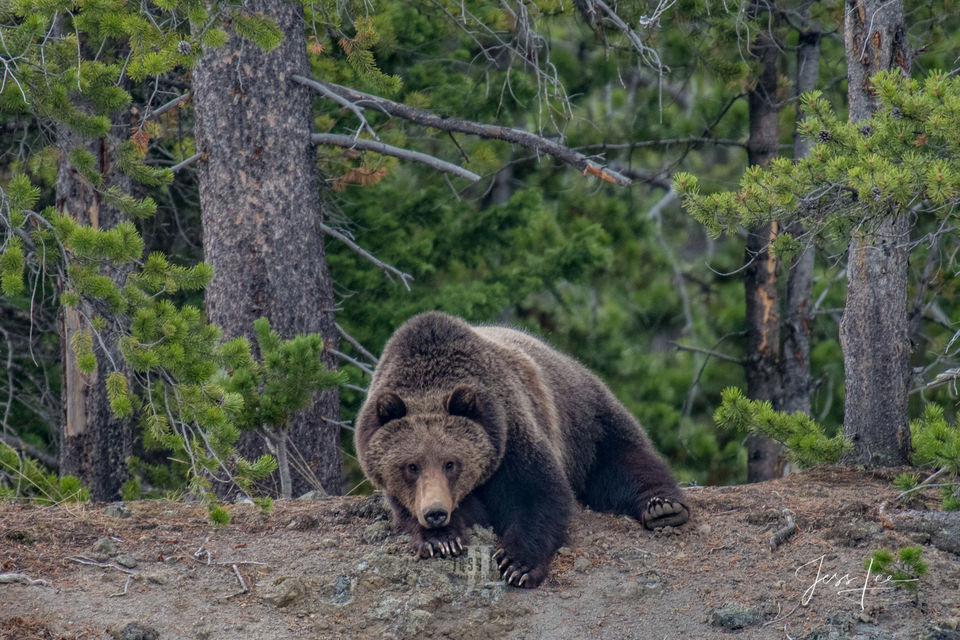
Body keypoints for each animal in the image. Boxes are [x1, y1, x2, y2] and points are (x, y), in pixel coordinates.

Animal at [356, 312, 688, 588]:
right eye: (411, 466)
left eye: (451, 463)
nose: (436, 513)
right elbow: (409, 511)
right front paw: (441, 540)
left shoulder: (510, 430)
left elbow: (537, 493)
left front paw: (517, 564)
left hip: (583, 420)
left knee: (622, 461)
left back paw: (662, 507)